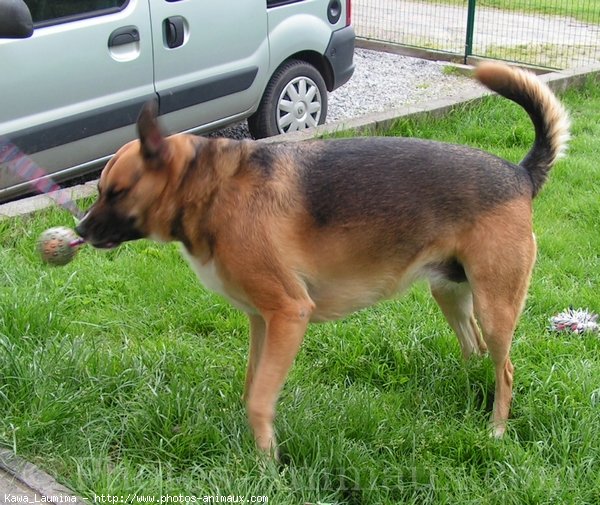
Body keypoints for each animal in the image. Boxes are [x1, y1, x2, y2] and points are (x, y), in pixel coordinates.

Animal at [76, 61, 572, 454]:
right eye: (100, 189)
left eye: (115, 191)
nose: (79, 230)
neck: (212, 188)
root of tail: (520, 174)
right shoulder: (262, 321)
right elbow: (251, 383)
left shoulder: (288, 313)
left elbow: (259, 398)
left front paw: (266, 461)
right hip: (451, 293)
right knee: (476, 350)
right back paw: (470, 395)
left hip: (495, 307)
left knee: (505, 369)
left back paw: (496, 428)